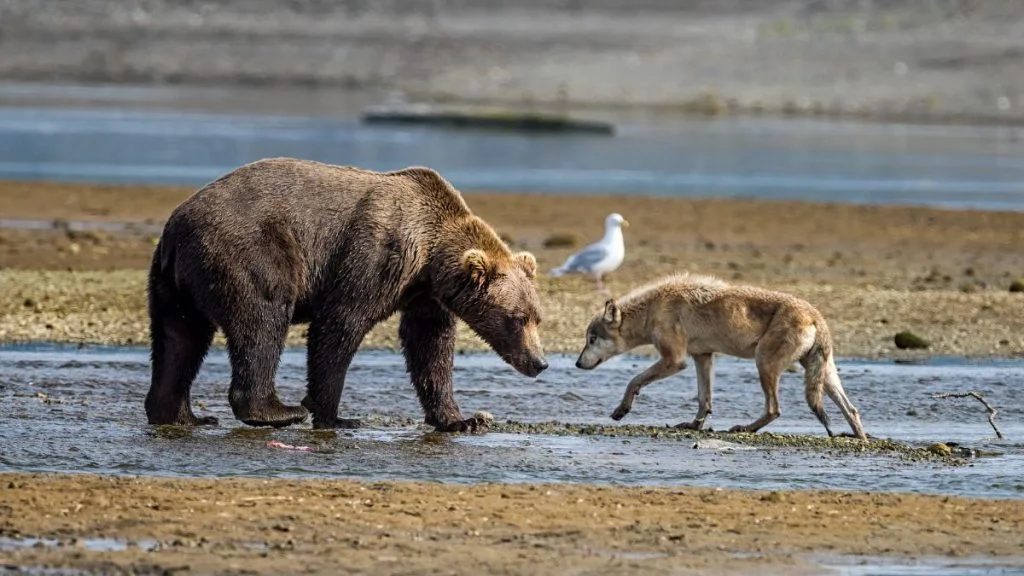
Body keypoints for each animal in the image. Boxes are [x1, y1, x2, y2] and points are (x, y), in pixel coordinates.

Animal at [145, 156, 548, 430]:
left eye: (537, 318)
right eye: (516, 319)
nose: (539, 362)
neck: (427, 258)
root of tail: (177, 225)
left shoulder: (426, 298)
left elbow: (430, 348)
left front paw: (461, 420)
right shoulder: (375, 257)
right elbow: (340, 324)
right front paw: (333, 415)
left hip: (173, 282)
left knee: (179, 338)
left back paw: (181, 415)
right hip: (252, 251)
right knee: (262, 321)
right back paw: (276, 410)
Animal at [573, 272, 868, 438]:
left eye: (591, 339)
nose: (576, 363)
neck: (652, 310)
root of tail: (816, 315)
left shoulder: (674, 361)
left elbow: (633, 381)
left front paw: (622, 410)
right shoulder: (703, 357)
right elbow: (705, 401)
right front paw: (693, 427)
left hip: (764, 364)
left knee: (774, 409)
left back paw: (744, 429)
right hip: (823, 376)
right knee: (852, 410)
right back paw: (860, 440)